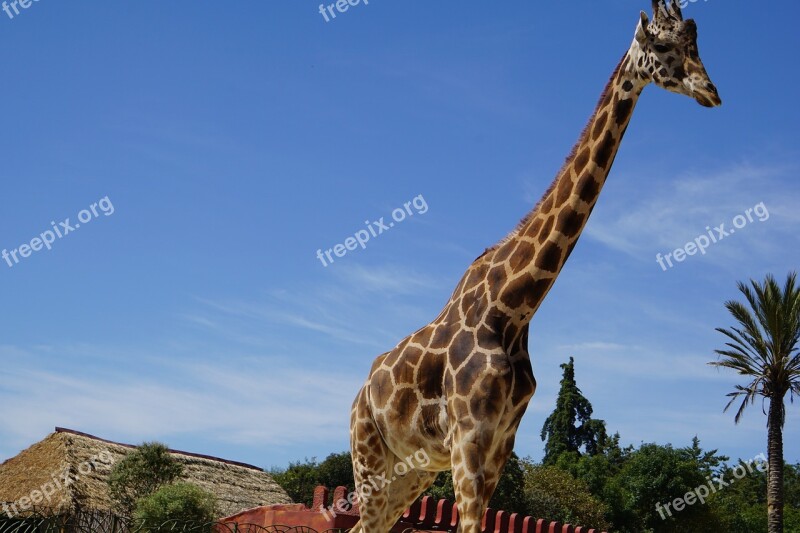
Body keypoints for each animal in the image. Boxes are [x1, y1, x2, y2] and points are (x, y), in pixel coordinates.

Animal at [346, 2, 720, 528]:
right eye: (664, 45)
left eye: (697, 44)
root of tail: (360, 393)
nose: (711, 91)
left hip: (411, 469)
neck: (514, 307)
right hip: (369, 455)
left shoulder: (502, 439)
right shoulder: (469, 434)